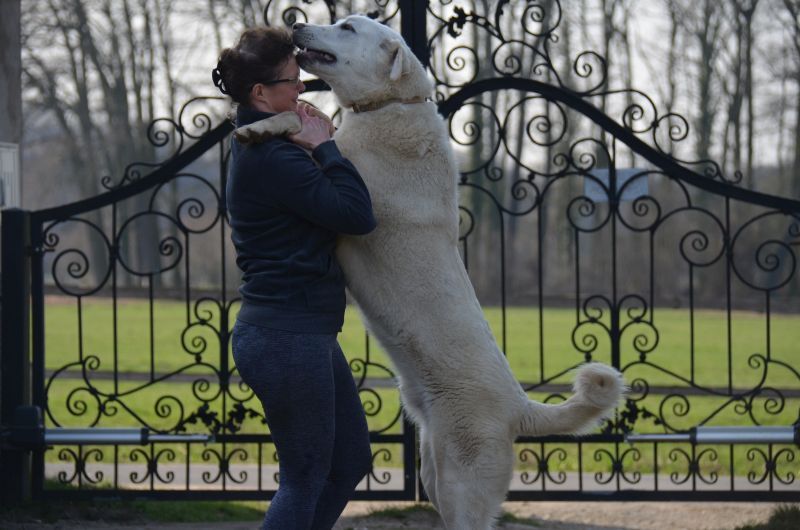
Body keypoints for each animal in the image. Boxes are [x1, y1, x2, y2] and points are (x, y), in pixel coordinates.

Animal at [238, 14, 624, 524]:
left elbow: (306, 128)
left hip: (462, 479)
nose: (296, 23)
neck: (389, 105)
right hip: (434, 470)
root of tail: (519, 407)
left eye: (347, 27)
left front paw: (260, 126)